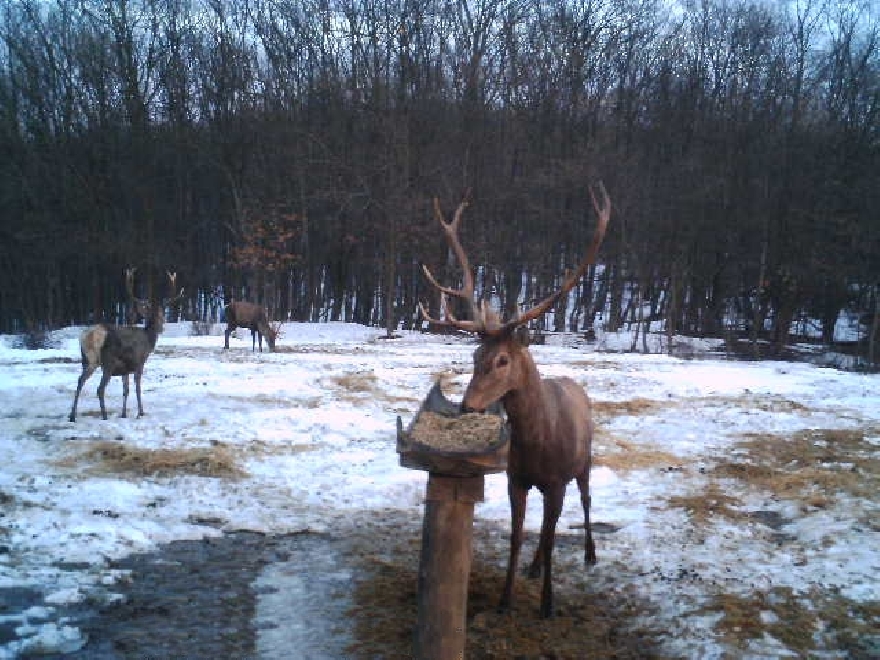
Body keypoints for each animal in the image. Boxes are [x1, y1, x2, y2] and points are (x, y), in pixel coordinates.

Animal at [70, 270, 184, 420]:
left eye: (161, 314)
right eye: (157, 316)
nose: (161, 328)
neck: (148, 340)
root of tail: (91, 336)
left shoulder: (125, 369)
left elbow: (126, 390)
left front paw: (123, 414)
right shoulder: (139, 362)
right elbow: (137, 388)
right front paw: (140, 412)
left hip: (87, 360)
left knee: (79, 381)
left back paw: (72, 416)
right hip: (108, 362)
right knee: (100, 389)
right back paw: (104, 416)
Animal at [422, 182, 612, 620]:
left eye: (503, 359)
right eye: (475, 354)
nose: (468, 406)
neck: (538, 445)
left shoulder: (557, 481)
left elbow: (552, 533)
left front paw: (547, 604)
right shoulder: (516, 480)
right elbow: (517, 535)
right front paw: (506, 598)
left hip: (585, 462)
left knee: (586, 502)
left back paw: (590, 554)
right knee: (544, 530)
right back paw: (535, 565)